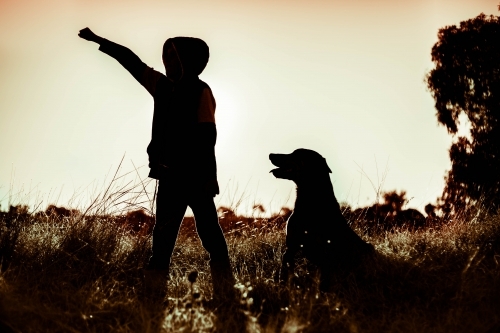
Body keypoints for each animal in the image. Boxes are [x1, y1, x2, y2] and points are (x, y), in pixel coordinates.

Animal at [270, 149, 376, 290]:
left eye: (295, 154)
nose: (270, 154)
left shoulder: (326, 253)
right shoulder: (292, 246)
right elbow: (287, 266)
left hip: (367, 248)